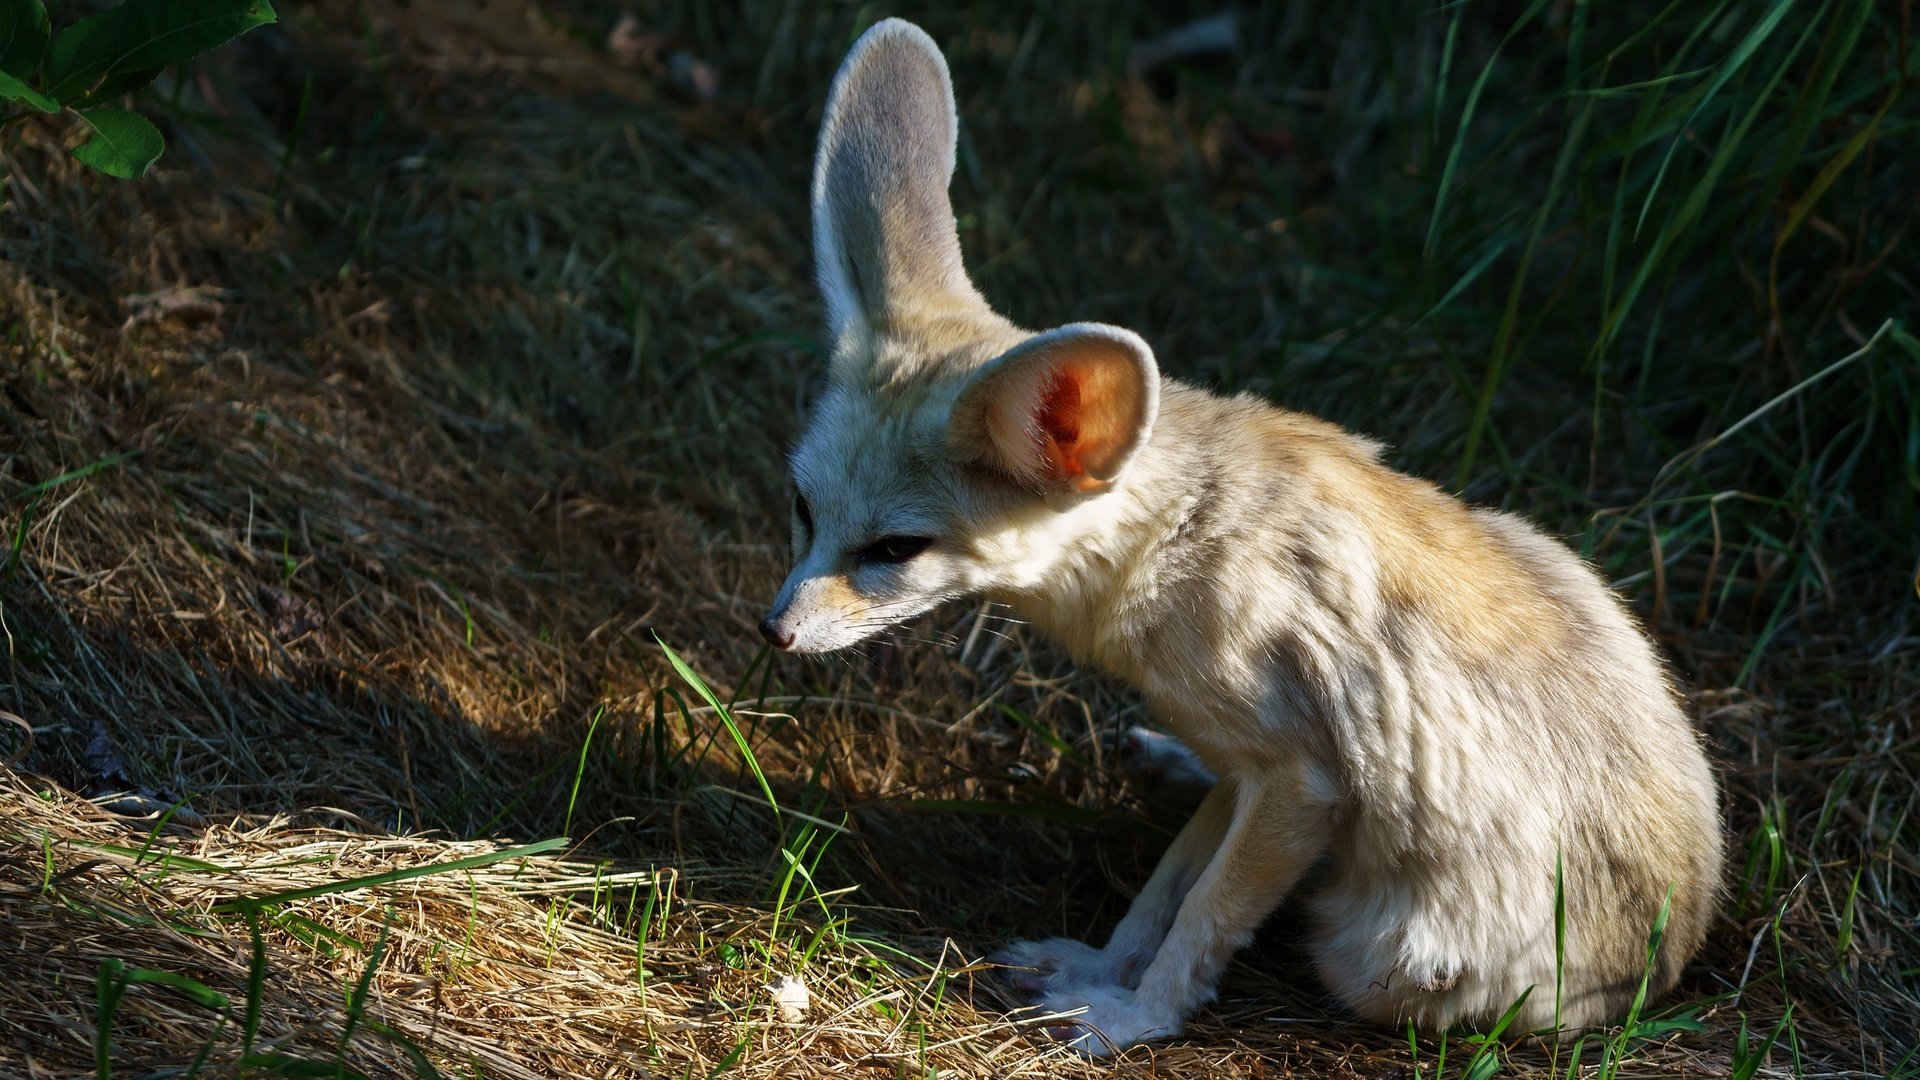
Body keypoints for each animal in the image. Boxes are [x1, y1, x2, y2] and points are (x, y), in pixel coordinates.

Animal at [764, 18, 1728, 1053]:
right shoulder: (1255, 763)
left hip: (1372, 955)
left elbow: (1203, 914)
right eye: (803, 509)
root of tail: (1668, 962)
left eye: (892, 553)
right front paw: (1101, 965)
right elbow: (1164, 888)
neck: (1182, 535)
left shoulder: (1302, 782)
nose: (774, 632)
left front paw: (1131, 1015)